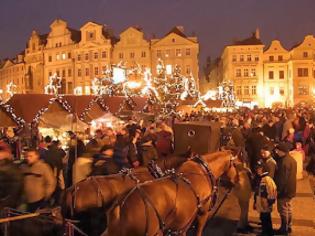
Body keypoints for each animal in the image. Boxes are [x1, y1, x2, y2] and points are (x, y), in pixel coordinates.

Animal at [102, 151, 238, 236]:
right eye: (236, 164)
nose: (236, 180)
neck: (203, 170)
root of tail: (120, 207)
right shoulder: (202, 213)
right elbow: (199, 231)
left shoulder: (183, 225)